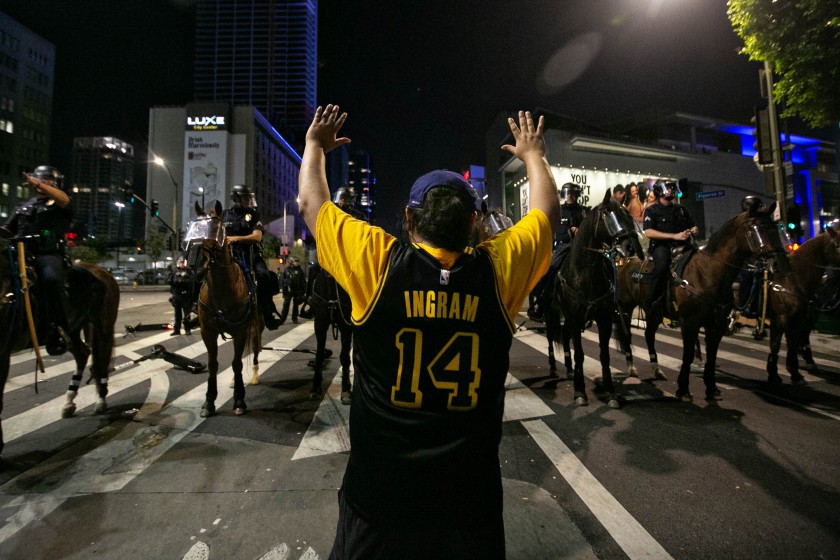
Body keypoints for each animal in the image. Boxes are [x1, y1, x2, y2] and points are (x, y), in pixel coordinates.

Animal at [0, 243, 119, 458]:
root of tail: (102, 270)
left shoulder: (3, 352)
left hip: (102, 325)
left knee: (100, 361)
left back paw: (100, 399)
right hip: (73, 328)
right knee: (84, 354)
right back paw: (69, 401)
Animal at [186, 201, 262, 416]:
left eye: (216, 229)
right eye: (193, 228)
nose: (194, 263)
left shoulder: (240, 331)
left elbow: (237, 363)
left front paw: (239, 400)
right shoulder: (208, 331)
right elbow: (213, 364)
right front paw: (209, 401)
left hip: (255, 325)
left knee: (255, 349)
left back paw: (254, 375)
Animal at [616, 203, 788, 400]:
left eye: (775, 228)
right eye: (755, 229)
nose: (780, 264)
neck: (708, 273)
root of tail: (624, 264)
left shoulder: (717, 324)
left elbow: (712, 355)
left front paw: (711, 387)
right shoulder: (689, 322)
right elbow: (689, 354)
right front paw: (683, 389)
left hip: (654, 313)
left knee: (649, 335)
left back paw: (657, 369)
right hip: (626, 309)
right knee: (627, 336)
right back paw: (632, 368)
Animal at [764, 228, 836, 384]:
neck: (792, 278)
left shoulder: (799, 318)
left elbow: (793, 342)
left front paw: (795, 373)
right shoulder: (781, 318)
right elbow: (776, 344)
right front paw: (773, 374)